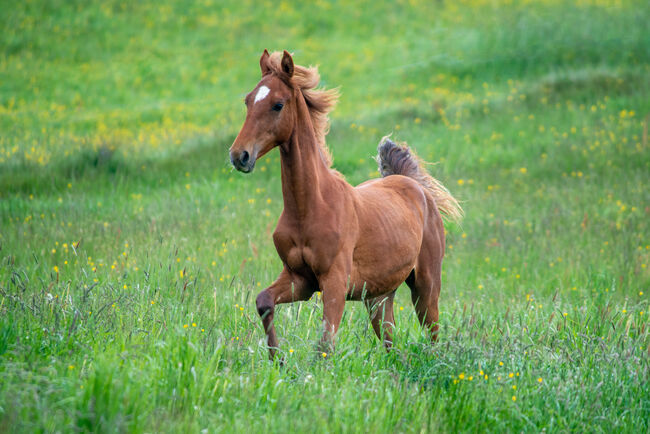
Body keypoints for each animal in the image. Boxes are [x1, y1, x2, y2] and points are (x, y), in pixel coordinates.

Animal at [228, 50, 460, 360]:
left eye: (277, 104)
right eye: (248, 100)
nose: (239, 155)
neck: (309, 207)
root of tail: (414, 186)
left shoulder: (335, 282)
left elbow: (325, 344)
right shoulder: (300, 279)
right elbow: (263, 301)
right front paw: (278, 360)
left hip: (426, 284)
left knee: (432, 331)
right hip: (378, 297)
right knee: (390, 341)